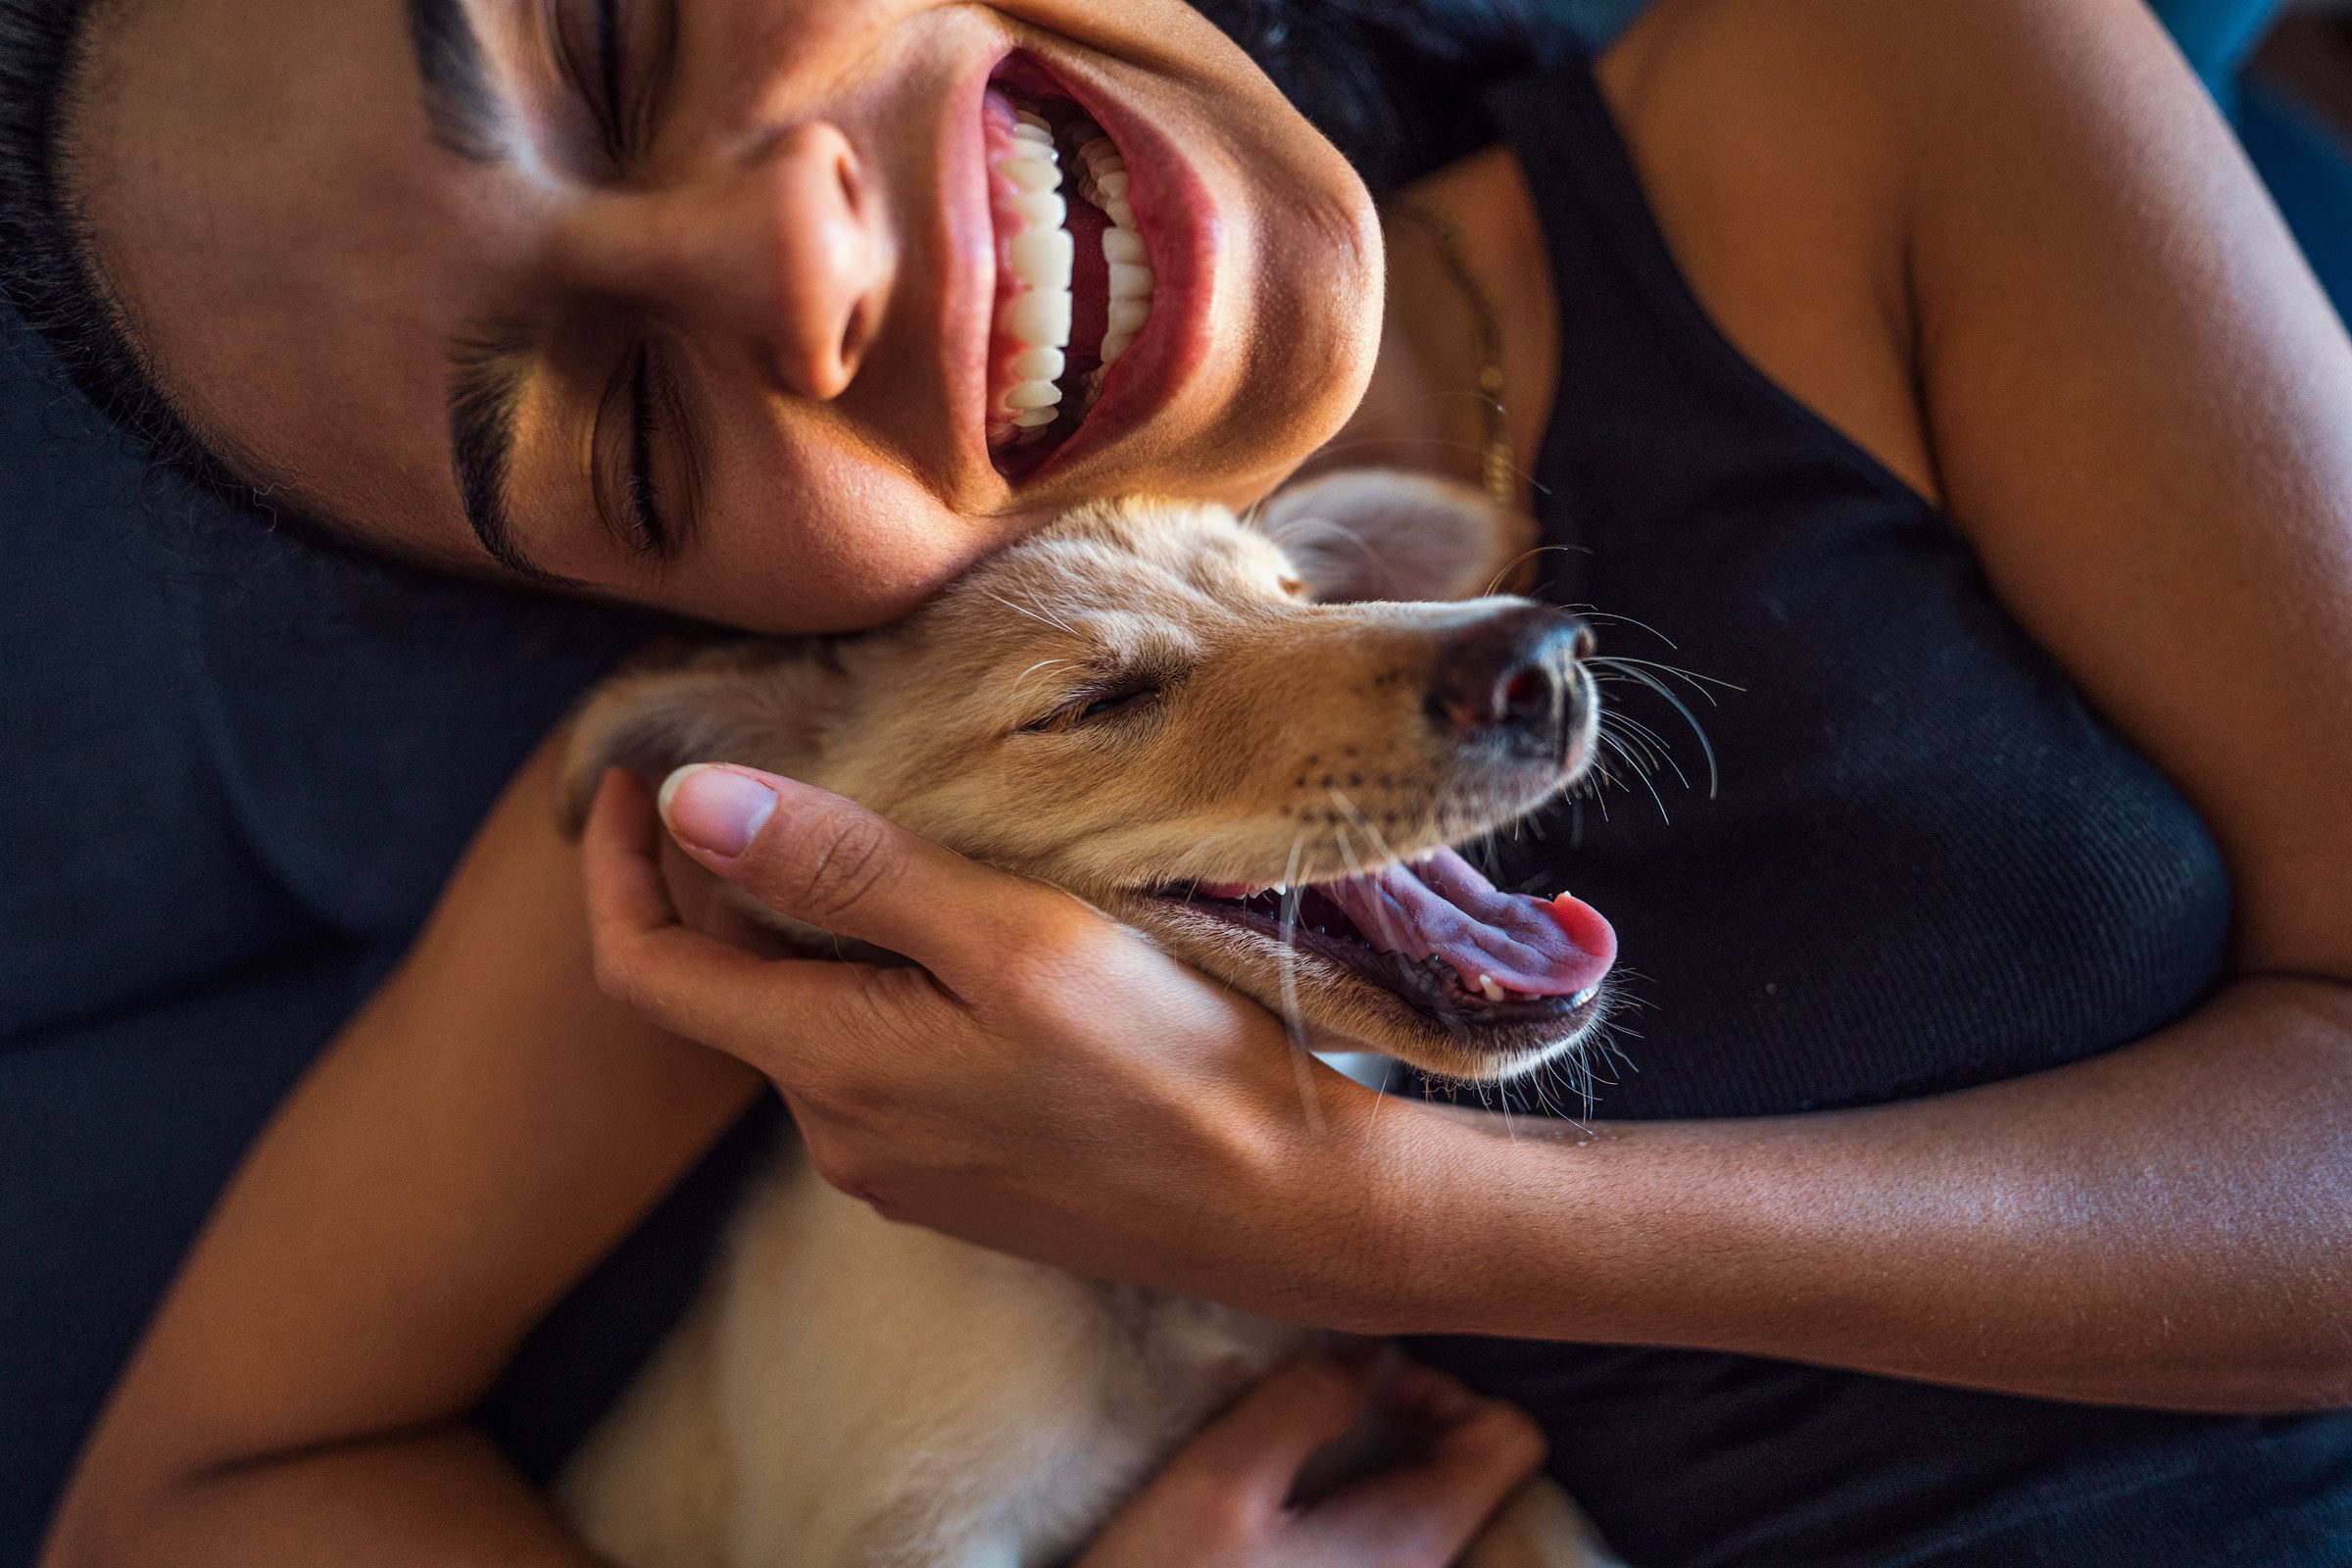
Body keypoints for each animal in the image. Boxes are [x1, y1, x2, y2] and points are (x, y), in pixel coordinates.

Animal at [555, 474, 1618, 1568]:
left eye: (1299, 597)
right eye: (1095, 703)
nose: (1541, 657)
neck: (1159, 1294)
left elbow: (1547, 1519)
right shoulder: (905, 1529)